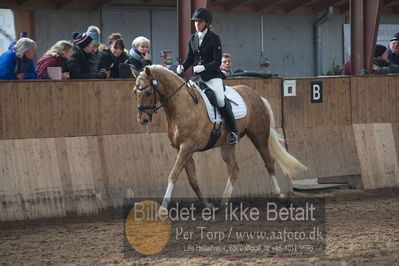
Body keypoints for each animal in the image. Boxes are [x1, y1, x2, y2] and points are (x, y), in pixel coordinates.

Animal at [133, 65, 308, 207]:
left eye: (148, 92)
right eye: (135, 92)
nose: (143, 120)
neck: (182, 105)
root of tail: (257, 96)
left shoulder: (187, 147)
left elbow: (173, 175)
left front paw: (163, 207)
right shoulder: (182, 149)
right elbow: (192, 180)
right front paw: (206, 204)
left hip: (259, 137)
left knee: (269, 163)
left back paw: (280, 196)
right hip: (227, 145)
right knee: (234, 169)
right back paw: (224, 201)